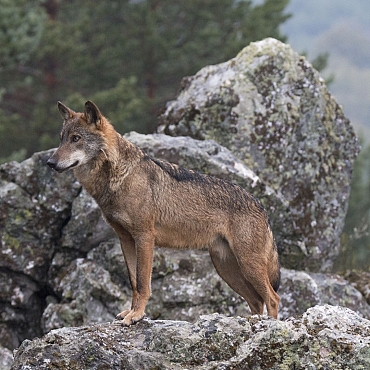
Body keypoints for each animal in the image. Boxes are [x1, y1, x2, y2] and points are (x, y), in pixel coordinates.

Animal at [47, 100, 280, 324]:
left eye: (76, 138)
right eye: (61, 139)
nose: (49, 162)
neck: (118, 177)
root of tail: (260, 205)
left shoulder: (144, 237)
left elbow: (142, 283)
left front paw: (136, 315)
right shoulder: (125, 240)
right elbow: (133, 282)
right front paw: (131, 312)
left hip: (247, 265)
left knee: (272, 298)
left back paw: (270, 325)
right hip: (226, 268)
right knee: (256, 300)